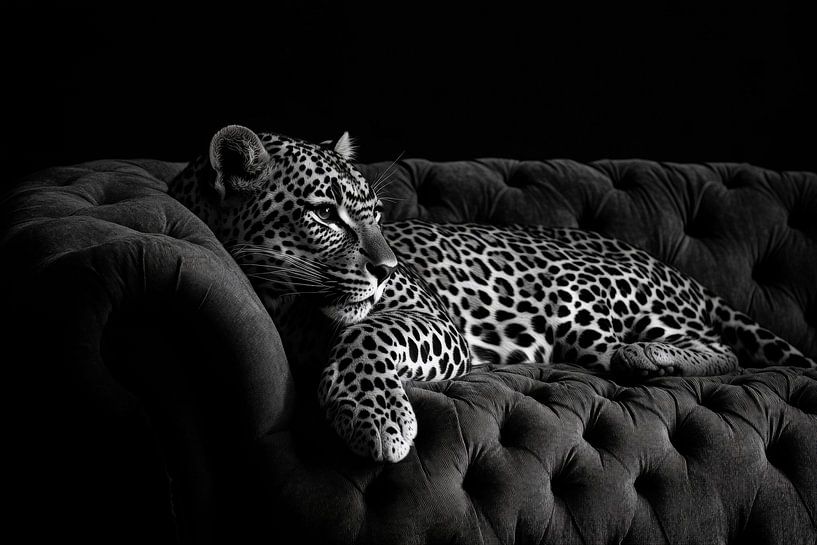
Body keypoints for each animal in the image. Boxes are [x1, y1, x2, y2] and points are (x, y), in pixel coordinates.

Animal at [169, 125, 816, 463]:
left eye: (374, 213)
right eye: (326, 214)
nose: (387, 267)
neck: (288, 306)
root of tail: (671, 267)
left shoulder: (432, 319)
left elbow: (370, 331)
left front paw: (375, 417)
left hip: (577, 297)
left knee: (719, 349)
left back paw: (646, 356)